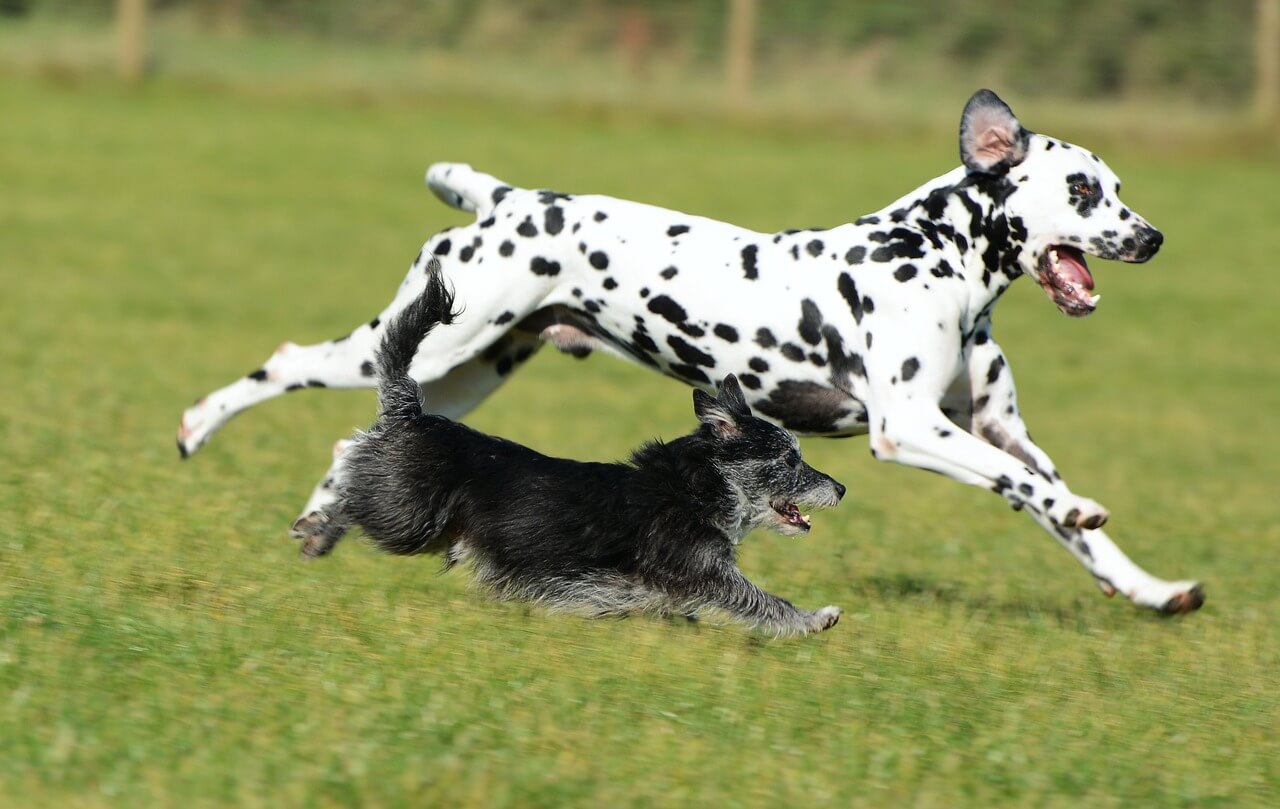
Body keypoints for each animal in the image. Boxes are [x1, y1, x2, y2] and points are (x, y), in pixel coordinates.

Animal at [293, 262, 844, 634]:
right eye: (790, 458)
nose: (841, 488)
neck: (696, 489)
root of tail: (409, 410)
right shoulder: (705, 574)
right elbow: (764, 603)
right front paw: (816, 617)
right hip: (407, 518)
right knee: (348, 495)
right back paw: (315, 530)